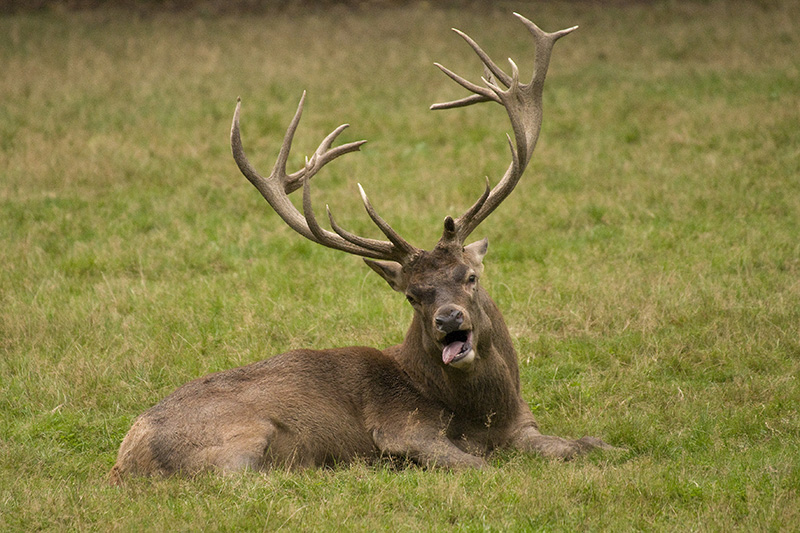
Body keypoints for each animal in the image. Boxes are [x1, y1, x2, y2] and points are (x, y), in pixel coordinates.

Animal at [109, 13, 613, 483]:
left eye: (470, 277)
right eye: (412, 296)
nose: (448, 319)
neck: (483, 417)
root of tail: (123, 463)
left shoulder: (524, 426)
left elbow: (587, 445)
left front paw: (610, 447)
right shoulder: (402, 426)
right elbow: (479, 466)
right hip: (241, 439)